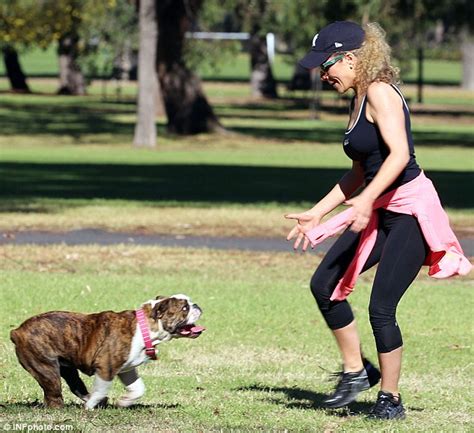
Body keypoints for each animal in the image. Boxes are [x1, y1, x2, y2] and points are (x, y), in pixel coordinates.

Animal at [10, 294, 204, 408]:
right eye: (184, 308)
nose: (197, 305)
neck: (146, 328)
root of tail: (17, 331)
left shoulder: (127, 369)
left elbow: (138, 388)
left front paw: (125, 402)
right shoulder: (106, 367)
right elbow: (102, 388)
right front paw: (91, 407)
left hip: (67, 369)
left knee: (76, 385)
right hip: (47, 370)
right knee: (54, 394)